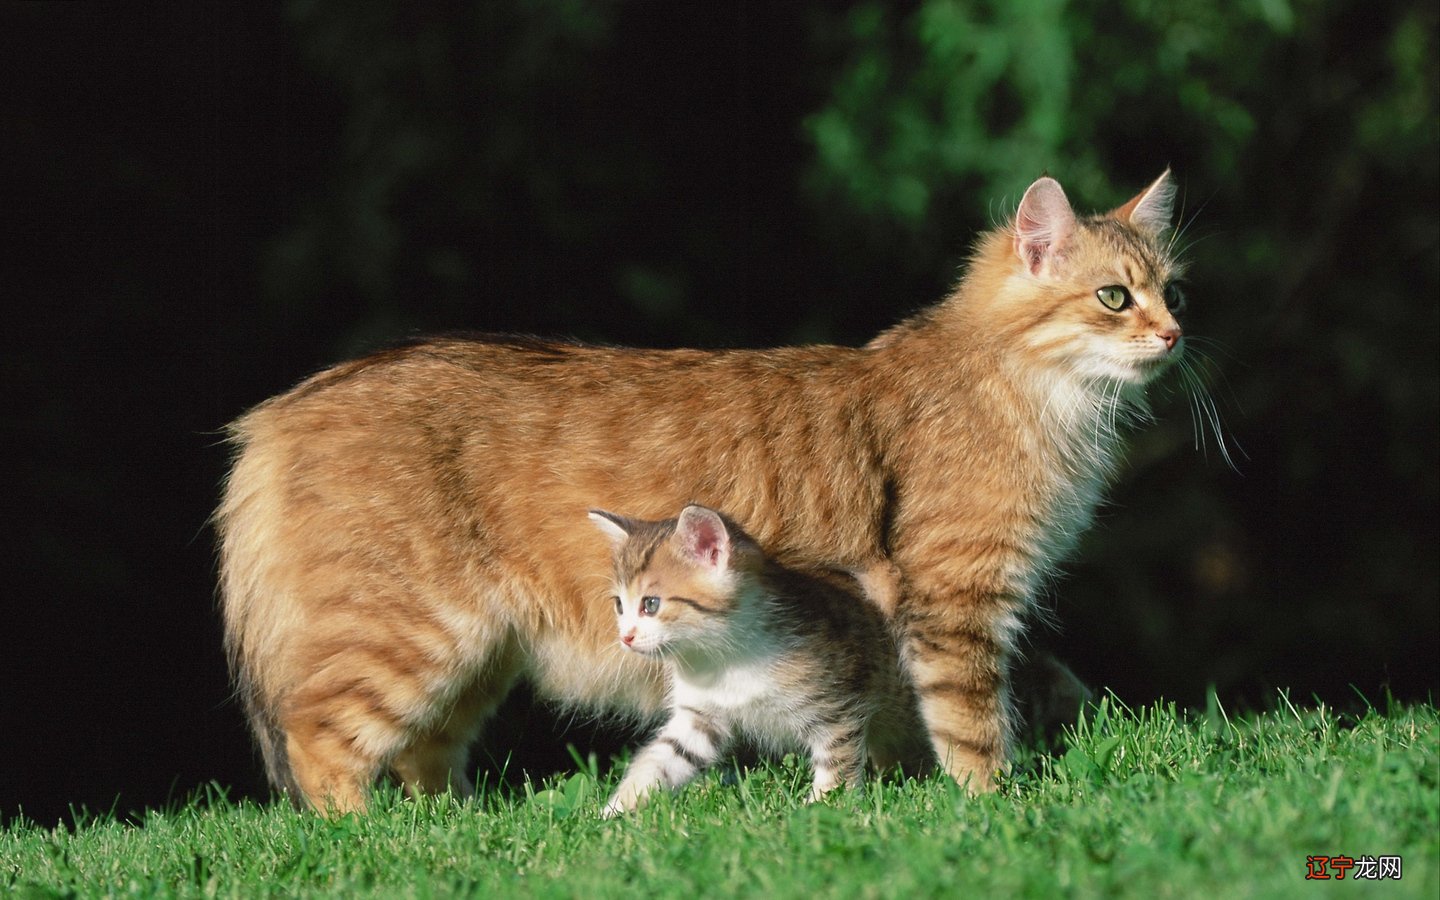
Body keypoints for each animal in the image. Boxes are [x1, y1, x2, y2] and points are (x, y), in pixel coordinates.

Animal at [587, 506, 904, 812]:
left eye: (650, 604)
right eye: (619, 605)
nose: (625, 637)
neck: (725, 661)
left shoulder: (837, 703)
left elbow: (836, 756)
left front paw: (827, 803)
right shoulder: (701, 716)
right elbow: (664, 757)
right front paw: (617, 809)